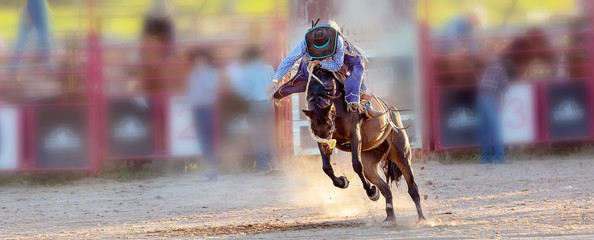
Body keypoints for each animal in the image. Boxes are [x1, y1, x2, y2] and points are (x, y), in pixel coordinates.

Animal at [276, 68, 424, 223]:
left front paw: (371, 191)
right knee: (385, 188)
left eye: (330, 129)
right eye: (315, 131)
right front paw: (343, 182)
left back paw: (422, 219)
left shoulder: (354, 136)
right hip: (371, 162)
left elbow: (357, 165)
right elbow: (327, 168)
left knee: (412, 187)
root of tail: (391, 110)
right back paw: (390, 218)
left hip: (401, 153)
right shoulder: (320, 141)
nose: (327, 149)